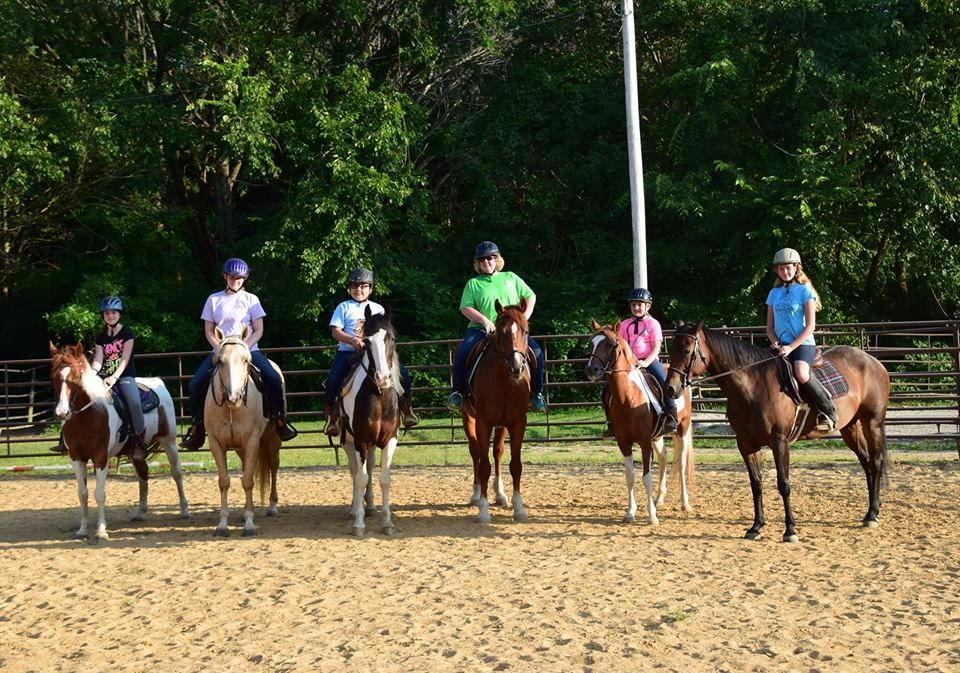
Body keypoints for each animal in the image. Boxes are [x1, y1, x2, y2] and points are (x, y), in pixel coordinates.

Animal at [48, 342, 191, 540]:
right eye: (54, 376)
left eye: (76, 376)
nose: (62, 413)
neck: (88, 415)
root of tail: (158, 382)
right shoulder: (76, 457)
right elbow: (82, 493)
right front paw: (82, 529)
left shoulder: (100, 457)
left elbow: (99, 494)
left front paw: (101, 530)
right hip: (135, 452)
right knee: (143, 475)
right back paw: (139, 512)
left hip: (168, 441)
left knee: (176, 473)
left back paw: (184, 510)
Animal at [338, 306, 402, 536]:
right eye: (366, 341)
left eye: (391, 338)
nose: (382, 378)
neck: (380, 396)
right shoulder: (361, 441)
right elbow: (361, 477)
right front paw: (359, 523)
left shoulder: (390, 439)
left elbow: (384, 478)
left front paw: (387, 523)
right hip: (348, 442)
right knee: (355, 471)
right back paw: (355, 508)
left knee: (370, 468)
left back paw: (371, 505)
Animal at [458, 296, 532, 524]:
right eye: (500, 332)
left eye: (526, 331)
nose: (516, 367)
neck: (504, 381)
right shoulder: (483, 422)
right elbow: (484, 466)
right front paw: (483, 510)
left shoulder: (517, 422)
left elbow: (515, 465)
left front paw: (519, 508)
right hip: (468, 418)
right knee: (476, 453)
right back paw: (476, 494)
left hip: (502, 425)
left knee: (497, 452)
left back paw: (500, 495)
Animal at [580, 318, 692, 524]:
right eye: (591, 343)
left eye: (611, 344)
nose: (591, 370)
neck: (628, 398)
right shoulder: (624, 442)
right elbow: (630, 476)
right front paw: (630, 512)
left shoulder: (644, 442)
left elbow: (646, 477)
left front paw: (651, 517)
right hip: (657, 436)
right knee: (664, 456)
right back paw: (659, 499)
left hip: (683, 428)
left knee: (680, 462)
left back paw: (684, 503)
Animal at [664, 320, 888, 540]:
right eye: (671, 348)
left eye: (686, 350)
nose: (670, 388)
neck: (752, 387)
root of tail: (872, 360)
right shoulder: (746, 444)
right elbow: (756, 483)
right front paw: (756, 527)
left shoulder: (779, 442)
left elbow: (784, 484)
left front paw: (790, 530)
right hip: (850, 427)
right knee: (866, 463)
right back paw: (870, 512)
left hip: (872, 423)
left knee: (876, 462)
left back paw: (873, 514)